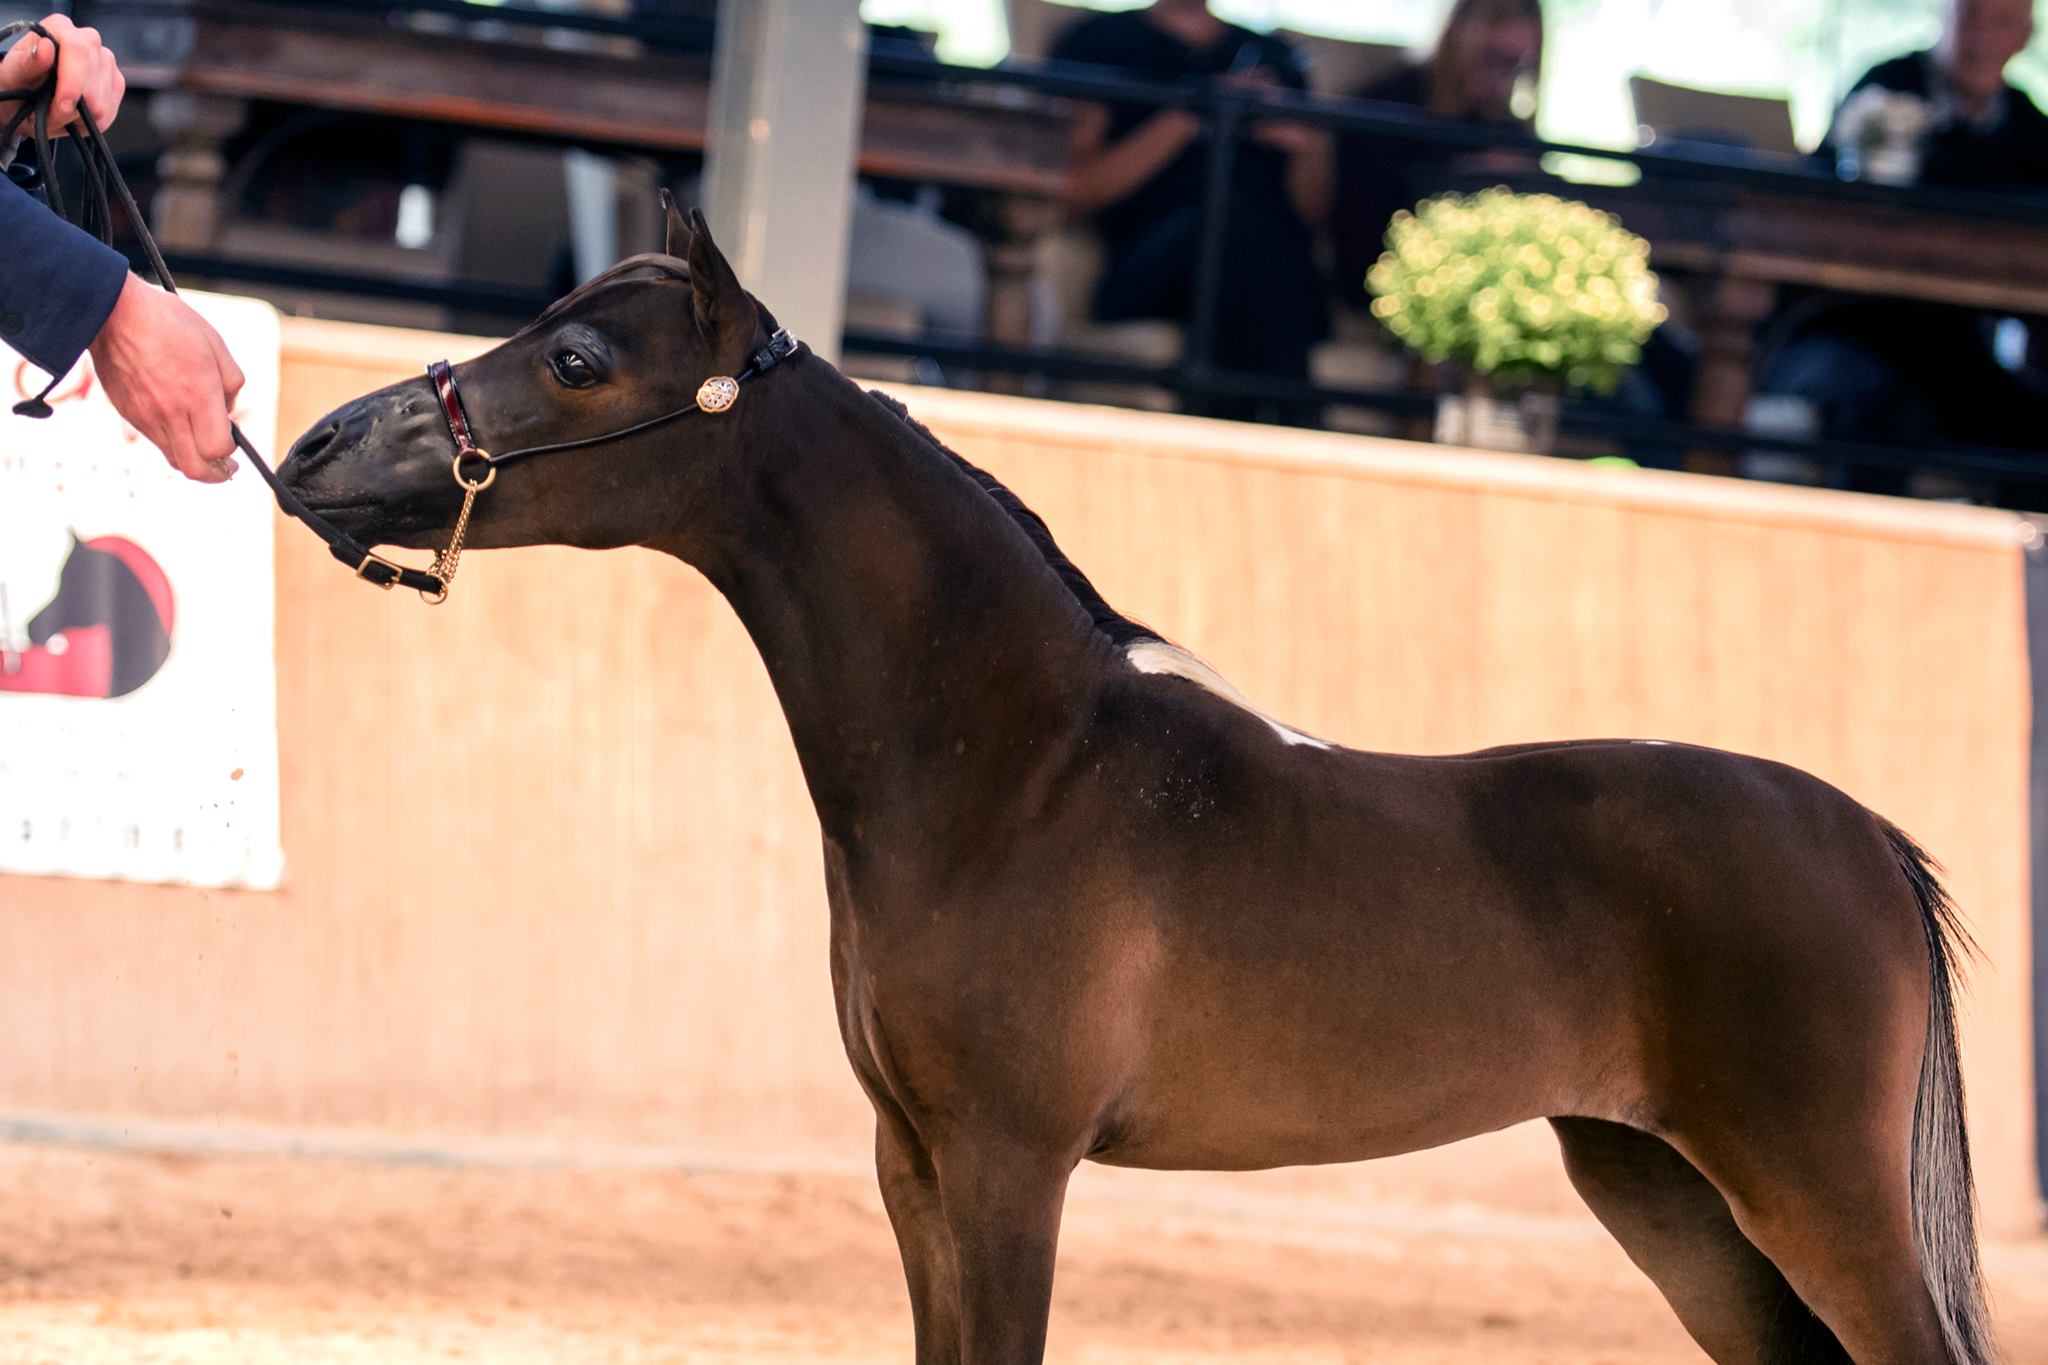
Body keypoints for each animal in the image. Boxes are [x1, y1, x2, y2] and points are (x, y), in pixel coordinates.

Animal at [279, 199, 1994, 1365]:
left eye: (574, 357)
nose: (313, 450)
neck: (1020, 775)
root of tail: (1870, 841)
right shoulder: (913, 1166)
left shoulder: (1009, 1166)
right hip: (1671, 1195)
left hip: (1813, 1194)